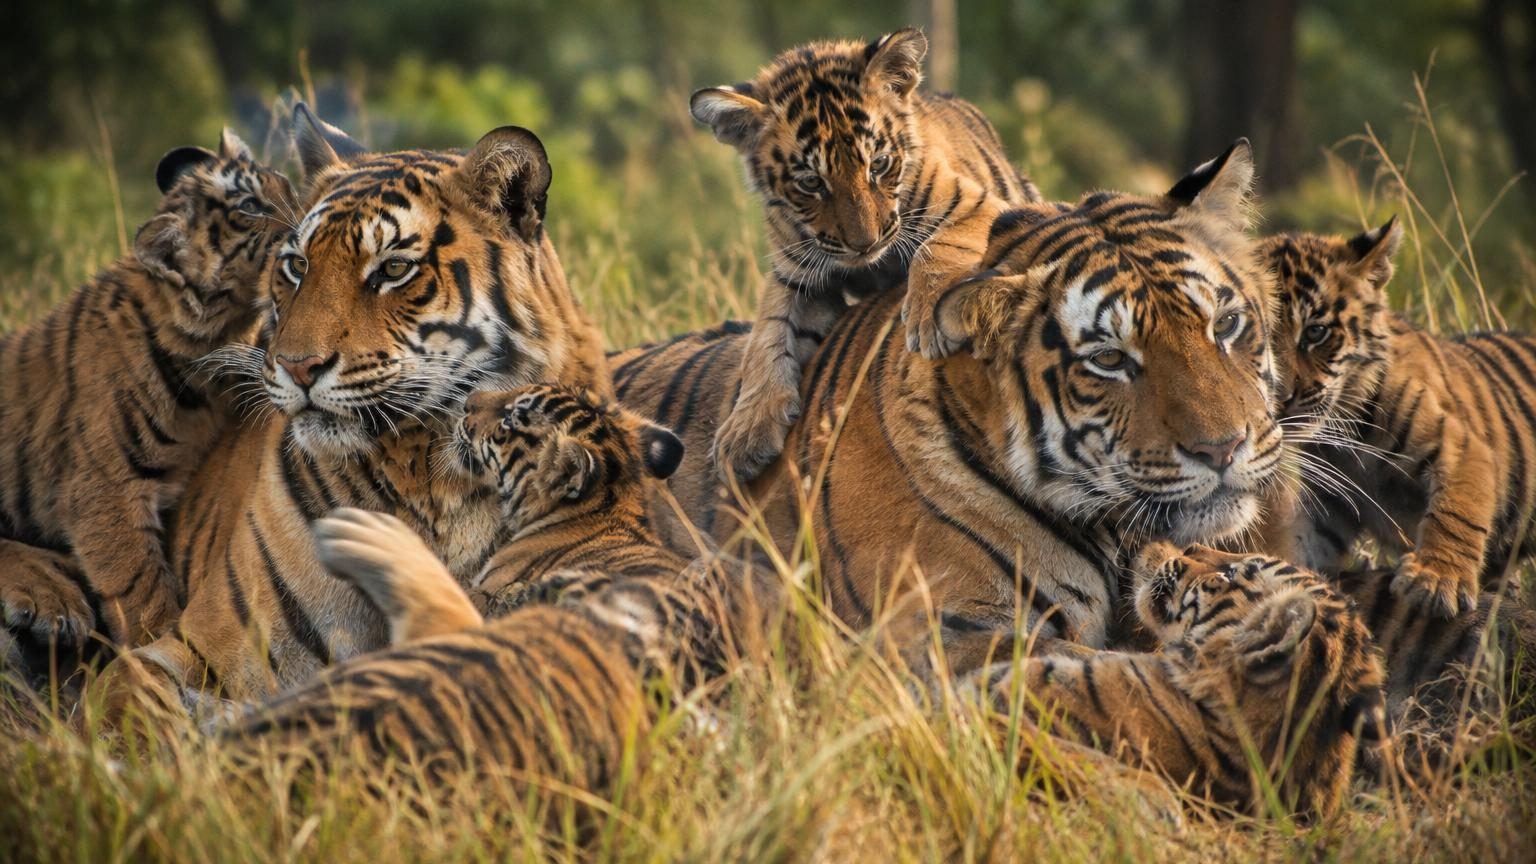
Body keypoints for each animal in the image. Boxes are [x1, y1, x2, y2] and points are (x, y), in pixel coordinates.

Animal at [0, 130, 296, 652]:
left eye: (279, 178)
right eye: (250, 207)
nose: (306, 202)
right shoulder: (105, 488)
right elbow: (139, 585)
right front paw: (154, 644)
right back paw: (52, 603)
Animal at [690, 27, 1041, 481]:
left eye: (879, 164)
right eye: (810, 182)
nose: (866, 243)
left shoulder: (976, 204)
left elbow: (937, 245)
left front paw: (930, 322)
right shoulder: (794, 274)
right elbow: (767, 334)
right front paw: (745, 432)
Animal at [1258, 220, 1536, 616]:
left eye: (1316, 332)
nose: (1280, 399)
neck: (1344, 436)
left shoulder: (1462, 447)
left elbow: (1455, 513)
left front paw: (1437, 580)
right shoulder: (1330, 502)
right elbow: (1301, 544)